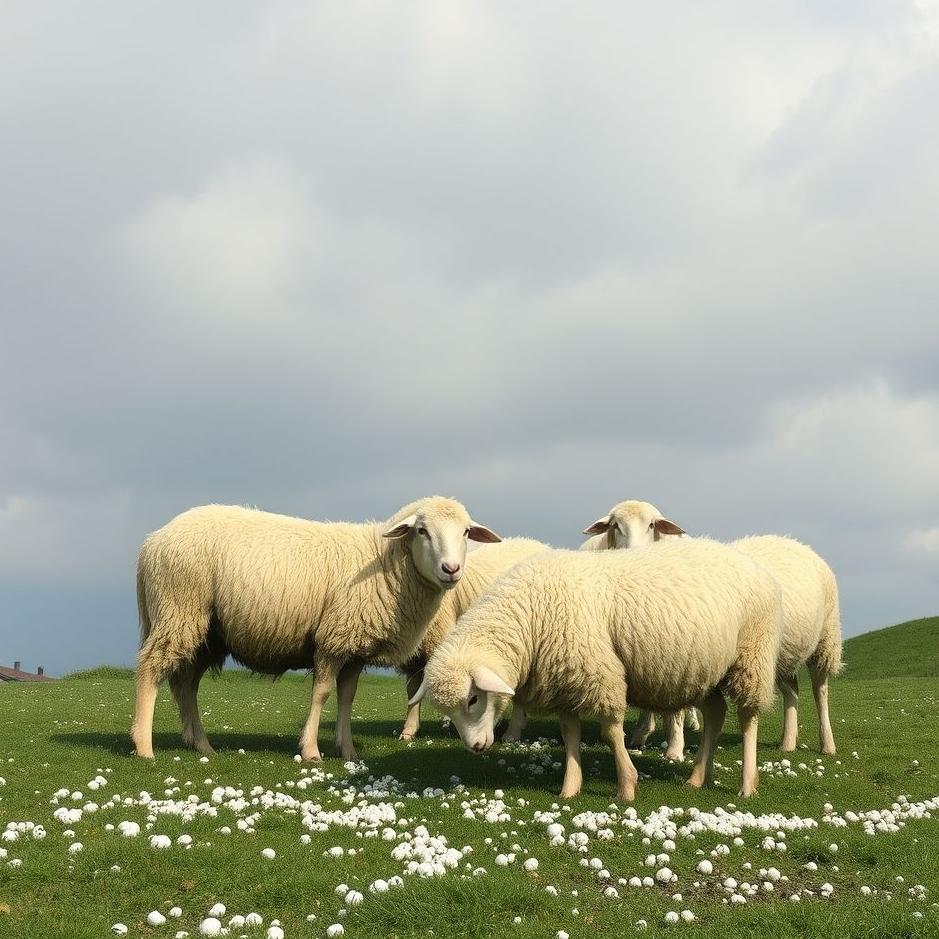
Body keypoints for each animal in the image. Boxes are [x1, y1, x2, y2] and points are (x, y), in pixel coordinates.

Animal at [131, 496, 501, 761]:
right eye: (422, 530)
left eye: (466, 532)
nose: (451, 569)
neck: (384, 563)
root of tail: (151, 542)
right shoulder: (332, 639)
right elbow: (321, 693)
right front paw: (311, 751)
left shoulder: (354, 648)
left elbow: (347, 697)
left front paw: (348, 750)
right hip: (179, 608)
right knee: (150, 670)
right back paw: (144, 745)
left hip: (207, 631)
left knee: (186, 684)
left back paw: (201, 744)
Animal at [414, 538, 783, 799]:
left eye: (473, 698)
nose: (475, 748)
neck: (530, 617)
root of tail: (755, 565)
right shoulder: (566, 679)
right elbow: (570, 735)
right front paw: (570, 788)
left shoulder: (598, 673)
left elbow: (610, 733)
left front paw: (626, 786)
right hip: (703, 670)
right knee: (716, 713)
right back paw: (696, 778)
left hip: (752, 655)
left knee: (748, 718)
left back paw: (747, 783)